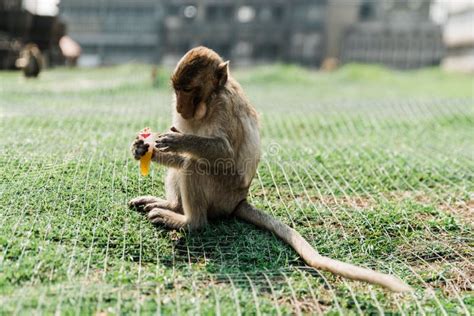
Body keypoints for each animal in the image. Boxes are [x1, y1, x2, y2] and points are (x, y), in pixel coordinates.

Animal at [129, 46, 412, 292]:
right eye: (177, 90)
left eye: (188, 89)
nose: (179, 106)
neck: (209, 101)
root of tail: (239, 201)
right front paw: (144, 149)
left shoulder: (224, 107)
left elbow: (223, 153)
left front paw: (177, 141)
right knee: (185, 165)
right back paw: (173, 206)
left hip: (222, 193)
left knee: (195, 165)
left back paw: (189, 222)